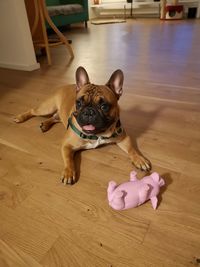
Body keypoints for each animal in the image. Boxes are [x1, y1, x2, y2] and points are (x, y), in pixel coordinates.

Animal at [14, 66, 151, 184]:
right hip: (46, 108)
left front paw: (140, 159)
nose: (88, 111)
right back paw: (20, 117)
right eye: (79, 103)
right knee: (33, 111)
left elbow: (132, 149)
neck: (97, 134)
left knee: (55, 117)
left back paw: (45, 124)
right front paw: (68, 173)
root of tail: (65, 86)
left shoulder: (123, 138)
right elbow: (69, 160)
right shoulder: (66, 145)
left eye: (104, 106)